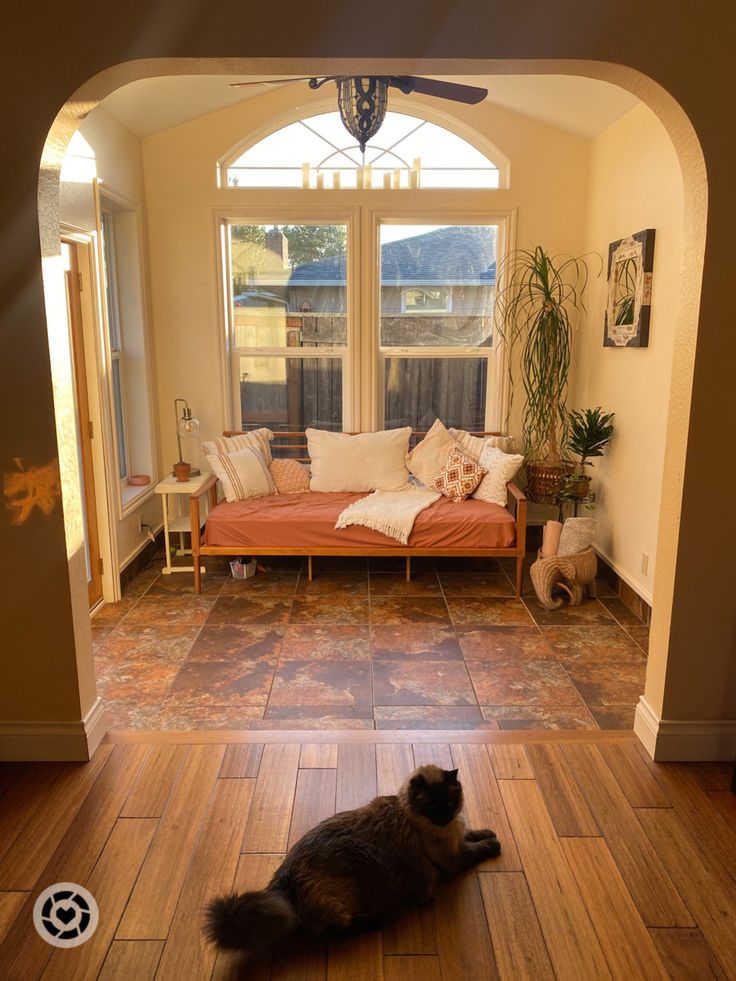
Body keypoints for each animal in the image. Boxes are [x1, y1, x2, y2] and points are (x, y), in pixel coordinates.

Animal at [207, 760, 500, 952]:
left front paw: (489, 832)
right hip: (353, 876)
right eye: (432, 808)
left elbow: (473, 832)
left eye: (450, 804)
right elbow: (478, 848)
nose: (444, 818)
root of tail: (285, 874)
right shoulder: (453, 859)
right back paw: (378, 920)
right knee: (330, 930)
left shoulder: (458, 838)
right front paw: (495, 845)